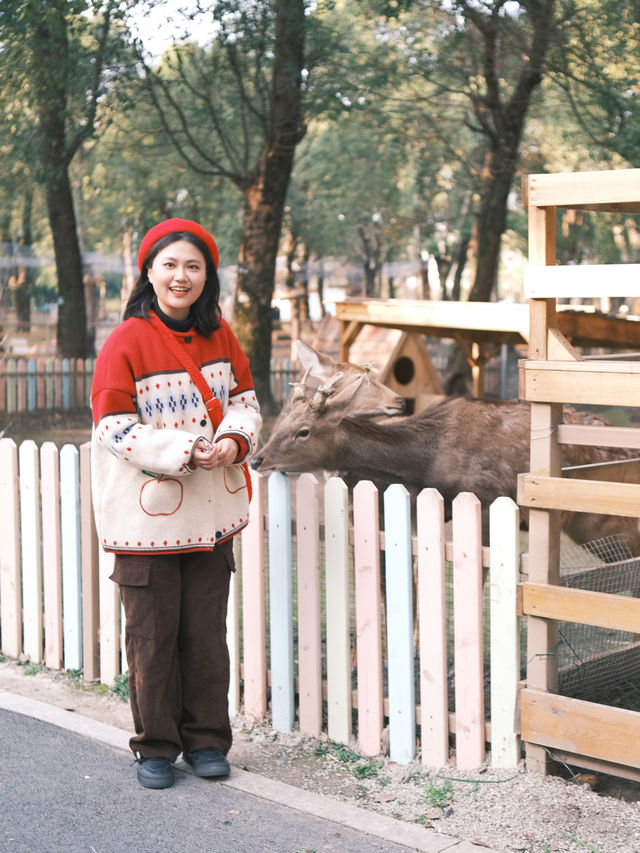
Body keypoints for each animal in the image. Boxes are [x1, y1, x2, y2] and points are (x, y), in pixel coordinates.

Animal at [255, 342, 640, 556]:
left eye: (303, 431)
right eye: (282, 421)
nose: (258, 458)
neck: (426, 460)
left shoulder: (486, 502)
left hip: (606, 524)